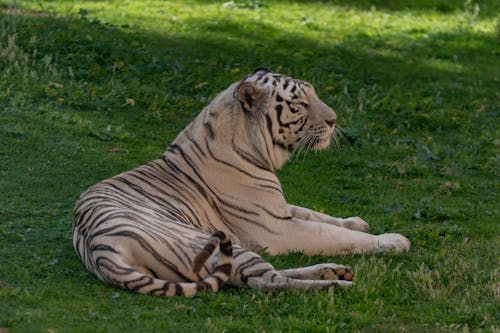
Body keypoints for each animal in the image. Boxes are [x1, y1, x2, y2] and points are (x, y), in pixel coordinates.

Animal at [74, 67, 410, 296]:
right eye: (300, 104)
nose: (334, 120)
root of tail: (101, 250)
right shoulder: (276, 228)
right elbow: (335, 235)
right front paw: (392, 240)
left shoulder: (280, 209)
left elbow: (319, 215)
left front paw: (358, 221)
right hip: (218, 244)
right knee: (269, 282)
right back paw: (337, 285)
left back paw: (334, 271)